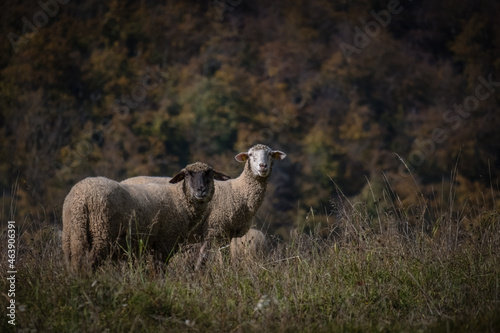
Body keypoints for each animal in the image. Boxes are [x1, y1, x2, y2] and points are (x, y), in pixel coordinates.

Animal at [61, 162, 230, 272]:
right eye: (187, 174)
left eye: (210, 174)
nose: (201, 190)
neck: (179, 198)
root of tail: (81, 197)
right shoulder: (165, 243)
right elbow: (159, 271)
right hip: (100, 234)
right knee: (89, 264)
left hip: (73, 236)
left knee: (74, 265)